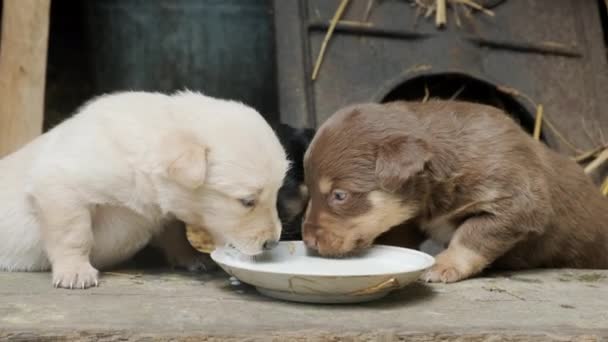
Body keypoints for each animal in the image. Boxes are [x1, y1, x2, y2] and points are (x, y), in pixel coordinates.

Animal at [0, 90, 288, 288]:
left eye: (276, 194)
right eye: (247, 201)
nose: (272, 243)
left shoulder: (166, 211)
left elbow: (176, 234)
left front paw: (191, 257)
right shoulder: (60, 186)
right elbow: (74, 234)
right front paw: (75, 270)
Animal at [302, 100, 608, 282]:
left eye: (339, 195)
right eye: (310, 191)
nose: (308, 240)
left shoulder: (520, 202)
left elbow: (472, 234)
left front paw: (442, 265)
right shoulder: (409, 218)